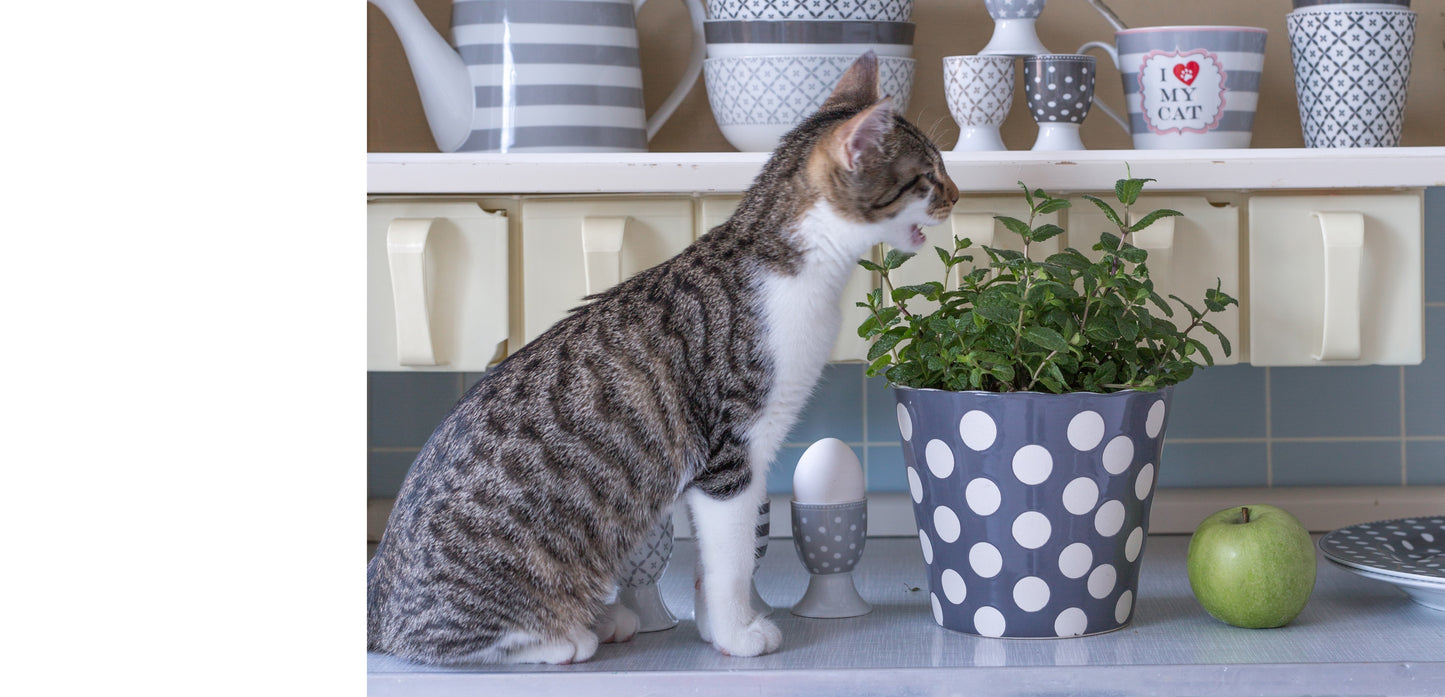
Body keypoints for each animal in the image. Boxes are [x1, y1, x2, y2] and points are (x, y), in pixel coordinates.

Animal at [369, 50, 959, 665]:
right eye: (927, 176)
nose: (958, 195)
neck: (788, 261)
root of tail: (378, 591)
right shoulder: (730, 450)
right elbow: (729, 559)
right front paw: (736, 633)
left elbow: (710, 559)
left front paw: (714, 627)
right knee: (445, 642)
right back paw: (566, 637)